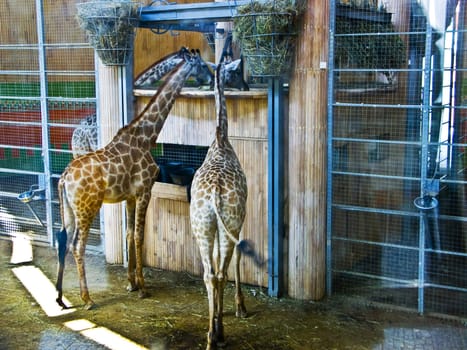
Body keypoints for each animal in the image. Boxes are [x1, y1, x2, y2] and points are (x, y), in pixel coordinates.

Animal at [53, 47, 210, 310]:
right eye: (204, 65)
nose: (210, 77)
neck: (146, 136)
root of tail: (64, 178)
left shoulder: (129, 196)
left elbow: (128, 234)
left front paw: (131, 283)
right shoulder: (145, 191)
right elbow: (139, 235)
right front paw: (143, 288)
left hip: (69, 210)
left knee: (63, 240)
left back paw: (59, 296)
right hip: (87, 208)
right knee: (77, 246)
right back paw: (87, 299)